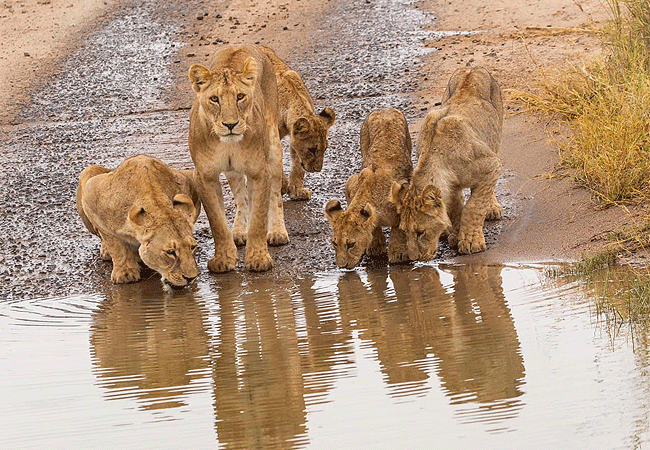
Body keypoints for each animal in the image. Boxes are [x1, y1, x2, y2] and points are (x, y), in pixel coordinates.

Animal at [75, 155, 199, 288]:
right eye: (170, 252)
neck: (156, 202)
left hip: (191, 176)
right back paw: (107, 252)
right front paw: (125, 274)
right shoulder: (91, 193)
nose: (191, 278)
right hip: (88, 172)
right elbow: (115, 245)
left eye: (193, 247)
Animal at [187, 44, 288, 274]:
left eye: (240, 96)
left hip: (273, 147)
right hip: (232, 172)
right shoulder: (205, 176)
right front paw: (223, 259)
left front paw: (259, 258)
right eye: (214, 99)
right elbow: (217, 221)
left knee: (276, 194)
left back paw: (278, 232)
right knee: (241, 197)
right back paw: (240, 231)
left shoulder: (260, 171)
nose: (230, 124)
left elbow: (259, 217)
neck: (228, 144)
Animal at [260, 45, 336, 200]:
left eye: (325, 149)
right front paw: (282, 186)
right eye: (312, 150)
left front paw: (297, 191)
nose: (317, 170)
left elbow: (297, 166)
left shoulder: (294, 137)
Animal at [322, 109, 410, 268]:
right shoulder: (351, 184)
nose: (342, 266)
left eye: (351, 244)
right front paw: (375, 246)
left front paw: (399, 254)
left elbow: (399, 227)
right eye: (334, 243)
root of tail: (385, 109)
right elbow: (372, 226)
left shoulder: (404, 191)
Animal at [390, 65, 502, 258]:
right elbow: (456, 209)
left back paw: (492, 208)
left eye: (420, 232)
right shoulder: (451, 186)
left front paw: (471, 242)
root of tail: (472, 68)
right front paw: (456, 236)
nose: (414, 258)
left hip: (495, 137)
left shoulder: (490, 165)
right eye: (404, 231)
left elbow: (474, 207)